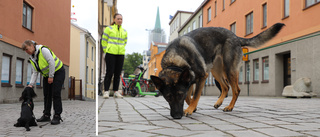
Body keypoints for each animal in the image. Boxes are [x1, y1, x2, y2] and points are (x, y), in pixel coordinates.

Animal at [151, 22, 284, 119]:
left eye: (179, 95)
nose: (177, 116)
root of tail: (235, 37)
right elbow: (189, 97)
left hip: (229, 70)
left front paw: (190, 109)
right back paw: (219, 102)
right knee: (225, 87)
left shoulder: (202, 77)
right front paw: (192, 108)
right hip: (216, 71)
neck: (175, 60)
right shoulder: (189, 82)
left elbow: (195, 96)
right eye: (168, 97)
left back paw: (229, 107)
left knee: (236, 89)